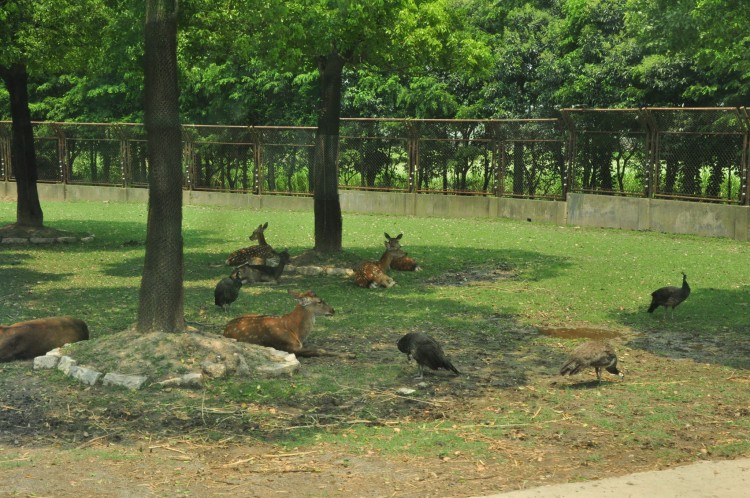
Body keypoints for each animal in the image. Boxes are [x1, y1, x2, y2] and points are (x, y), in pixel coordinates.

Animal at [225, 288, 354, 358]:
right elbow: (319, 351)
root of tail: (224, 329)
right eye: (319, 301)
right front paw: (350, 355)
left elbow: (322, 347)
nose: (333, 310)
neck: (296, 331)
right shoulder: (290, 347)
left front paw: (349, 352)